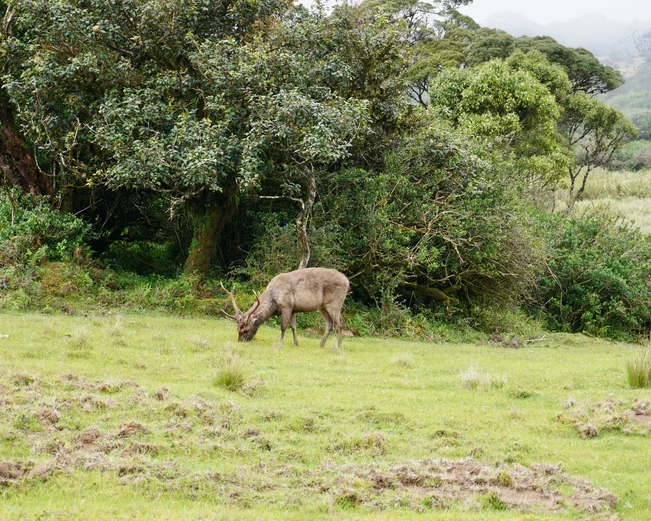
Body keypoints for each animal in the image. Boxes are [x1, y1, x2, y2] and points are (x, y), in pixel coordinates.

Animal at [218, 268, 350, 348]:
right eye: (237, 329)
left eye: (245, 330)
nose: (240, 341)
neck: (274, 301)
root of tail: (347, 281)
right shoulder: (293, 308)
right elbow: (293, 326)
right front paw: (296, 343)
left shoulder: (286, 306)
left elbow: (283, 327)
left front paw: (280, 343)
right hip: (322, 306)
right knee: (329, 323)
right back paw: (321, 344)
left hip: (335, 302)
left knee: (340, 323)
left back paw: (339, 346)